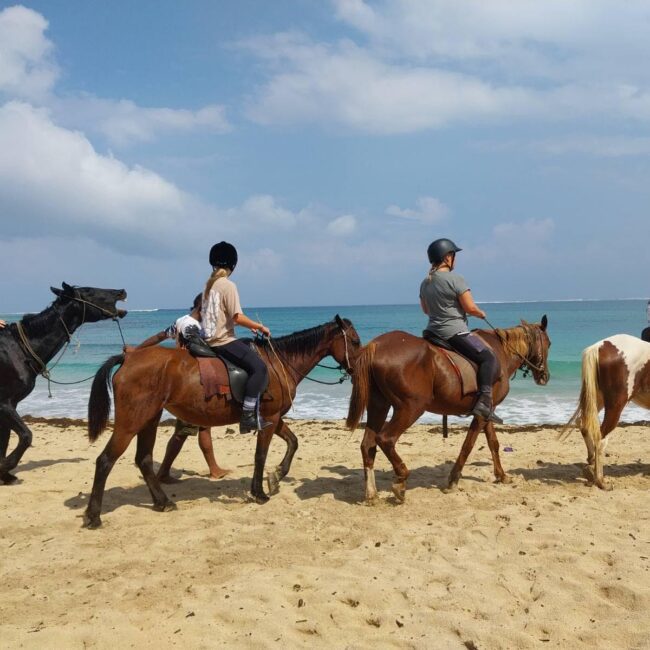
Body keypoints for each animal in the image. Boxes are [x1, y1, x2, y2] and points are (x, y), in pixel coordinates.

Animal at [0, 280, 126, 484]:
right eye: (88, 291)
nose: (121, 292)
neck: (18, 349)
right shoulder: (4, 404)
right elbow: (26, 436)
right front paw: (5, 467)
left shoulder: (11, 405)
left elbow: (5, 440)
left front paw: (4, 474)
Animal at [82, 314, 360, 528]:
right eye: (355, 341)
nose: (359, 370)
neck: (278, 363)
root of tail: (129, 359)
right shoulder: (269, 418)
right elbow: (261, 455)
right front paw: (259, 492)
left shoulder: (272, 418)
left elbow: (293, 442)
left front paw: (276, 476)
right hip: (130, 423)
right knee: (105, 461)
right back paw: (94, 516)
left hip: (149, 419)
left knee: (144, 459)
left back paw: (163, 502)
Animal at [344, 316, 548, 502]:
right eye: (549, 343)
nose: (545, 376)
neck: (500, 352)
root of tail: (376, 345)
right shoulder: (482, 414)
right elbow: (468, 445)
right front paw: (453, 480)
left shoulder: (487, 411)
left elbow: (493, 443)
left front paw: (502, 475)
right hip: (411, 408)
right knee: (385, 439)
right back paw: (401, 479)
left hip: (379, 405)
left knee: (368, 445)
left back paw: (372, 494)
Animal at [560, 332, 648, 488]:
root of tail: (599, 346)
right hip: (615, 405)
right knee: (601, 438)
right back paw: (600, 480)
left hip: (596, 398)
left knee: (583, 422)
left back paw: (590, 464)